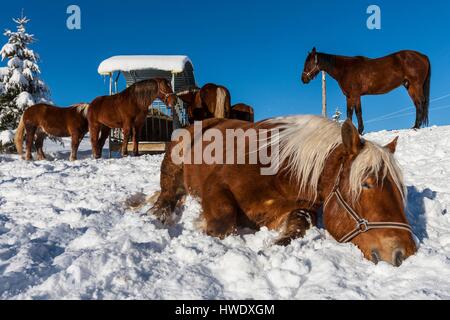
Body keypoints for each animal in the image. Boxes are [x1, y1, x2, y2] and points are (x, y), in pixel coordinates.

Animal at [153, 116, 416, 266]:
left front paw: (274, 245)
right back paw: (159, 215)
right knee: (167, 194)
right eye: (366, 183)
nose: (407, 252)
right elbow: (222, 223)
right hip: (172, 164)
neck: (278, 168)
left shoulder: (294, 208)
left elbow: (301, 224)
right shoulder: (215, 186)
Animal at [300, 47, 430, 133]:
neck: (345, 69)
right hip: (409, 86)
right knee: (418, 104)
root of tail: (423, 56)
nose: (303, 79)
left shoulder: (354, 95)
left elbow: (354, 112)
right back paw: (415, 125)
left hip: (416, 85)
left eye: (308, 63)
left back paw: (417, 126)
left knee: (420, 102)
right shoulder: (351, 96)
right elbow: (354, 112)